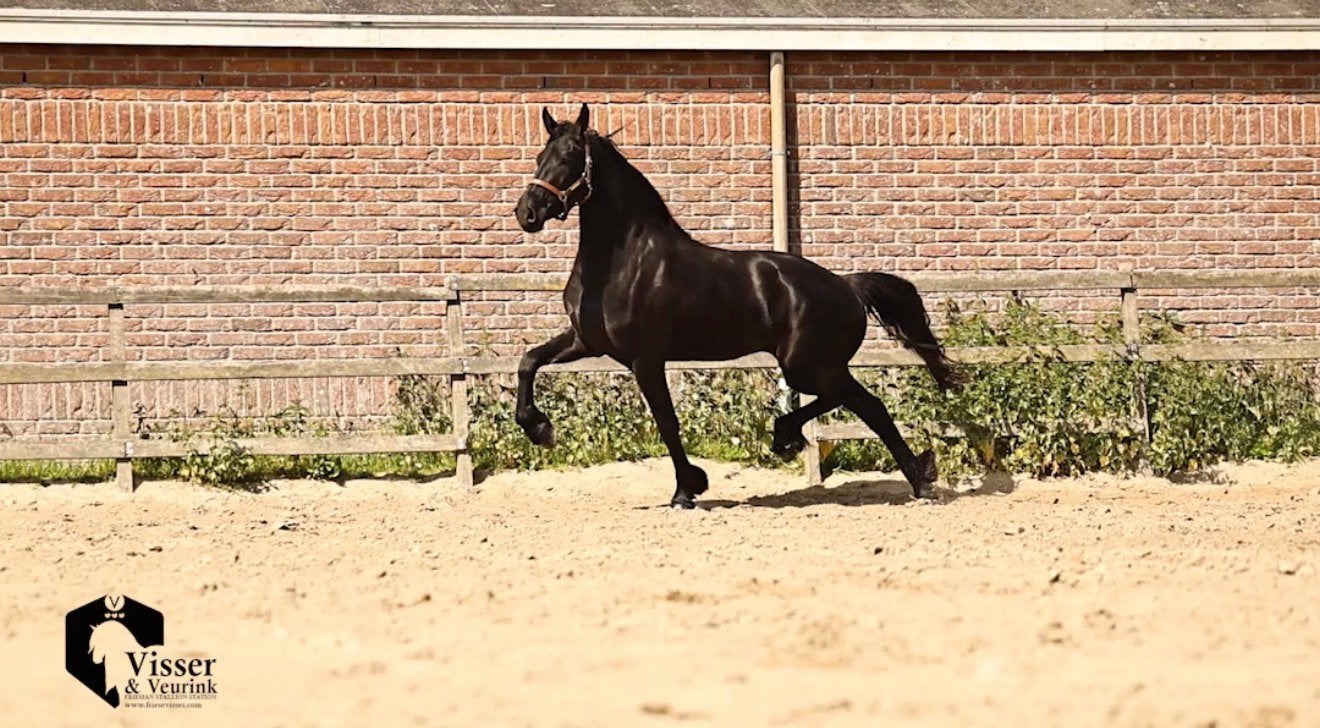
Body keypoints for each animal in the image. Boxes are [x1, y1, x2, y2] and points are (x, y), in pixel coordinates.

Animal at [513, 104, 962, 508]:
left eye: (569, 157)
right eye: (539, 157)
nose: (527, 213)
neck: (625, 262)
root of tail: (847, 285)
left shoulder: (646, 359)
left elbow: (667, 422)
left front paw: (687, 490)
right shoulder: (586, 342)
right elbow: (529, 361)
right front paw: (539, 428)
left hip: (807, 366)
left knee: (869, 405)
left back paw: (918, 481)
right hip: (812, 367)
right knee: (850, 402)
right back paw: (791, 436)